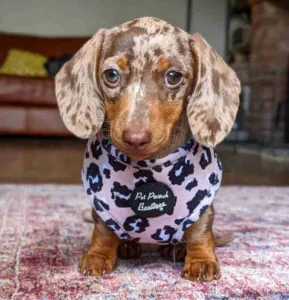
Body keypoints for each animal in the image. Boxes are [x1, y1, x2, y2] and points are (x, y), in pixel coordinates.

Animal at [54, 17, 238, 282]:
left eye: (173, 76)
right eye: (112, 74)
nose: (135, 138)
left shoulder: (203, 205)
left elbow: (200, 232)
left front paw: (201, 260)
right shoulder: (101, 207)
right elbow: (103, 231)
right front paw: (98, 255)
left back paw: (175, 248)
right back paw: (128, 245)